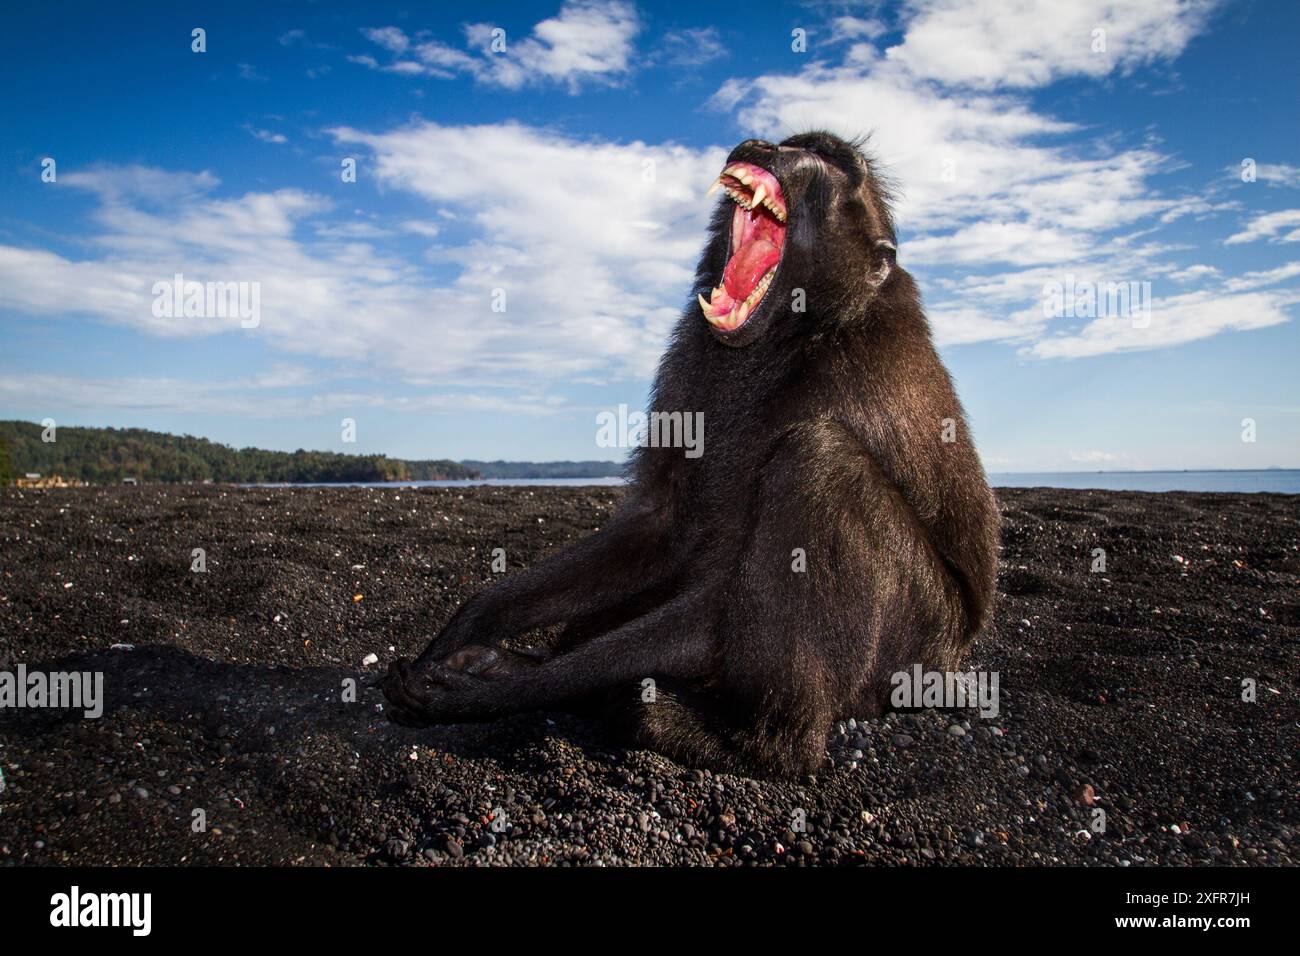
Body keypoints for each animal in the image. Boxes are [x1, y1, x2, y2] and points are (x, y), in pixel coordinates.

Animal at [382, 131, 1000, 777]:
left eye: (828, 162)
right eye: (793, 142)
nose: (761, 145)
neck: (792, 333)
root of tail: (953, 662)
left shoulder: (843, 380)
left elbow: (717, 597)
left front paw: (487, 693)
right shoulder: (695, 362)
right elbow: (664, 524)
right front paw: (469, 631)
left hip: (914, 639)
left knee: (821, 464)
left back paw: (753, 740)